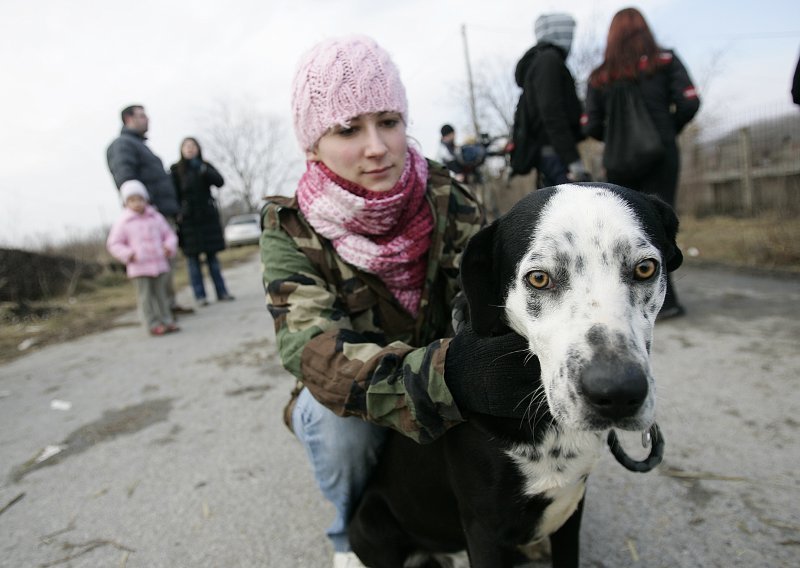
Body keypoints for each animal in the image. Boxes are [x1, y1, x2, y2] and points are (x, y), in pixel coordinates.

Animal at [348, 184, 680, 568]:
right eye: (539, 278)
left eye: (645, 268)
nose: (617, 393)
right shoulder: (484, 529)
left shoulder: (572, 509)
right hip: (373, 524)